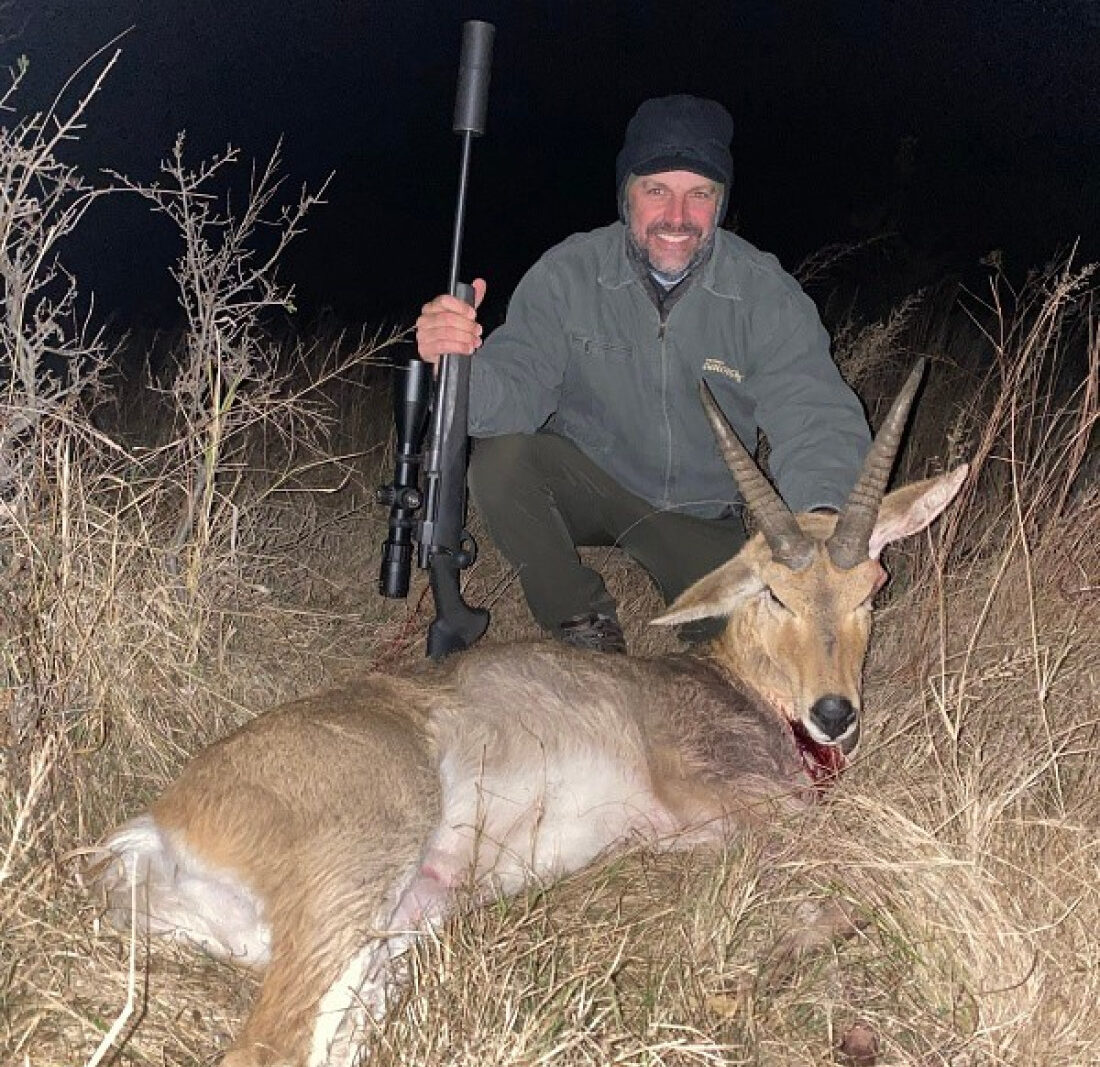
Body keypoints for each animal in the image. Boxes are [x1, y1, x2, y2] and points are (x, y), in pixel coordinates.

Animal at [92, 360, 963, 1060]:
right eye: (774, 592)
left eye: (872, 583)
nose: (835, 712)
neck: (739, 688)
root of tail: (159, 826)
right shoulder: (732, 798)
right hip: (361, 871)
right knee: (266, 1043)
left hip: (399, 930)